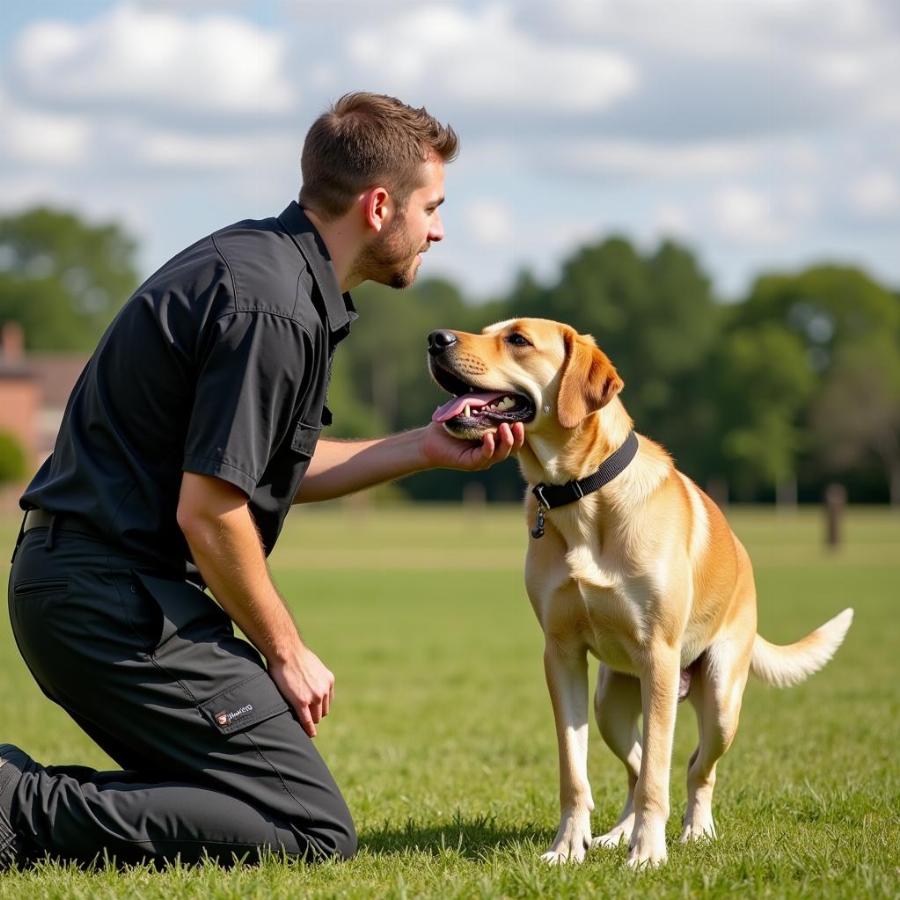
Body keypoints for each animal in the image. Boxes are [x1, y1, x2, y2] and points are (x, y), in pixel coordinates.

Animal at [426, 320, 856, 868]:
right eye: (485, 330)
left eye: (518, 339)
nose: (436, 339)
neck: (582, 494)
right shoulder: (561, 654)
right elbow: (576, 771)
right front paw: (568, 846)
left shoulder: (659, 654)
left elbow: (658, 772)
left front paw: (649, 853)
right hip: (609, 702)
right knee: (636, 765)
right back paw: (615, 834)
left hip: (720, 697)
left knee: (693, 766)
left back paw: (695, 830)